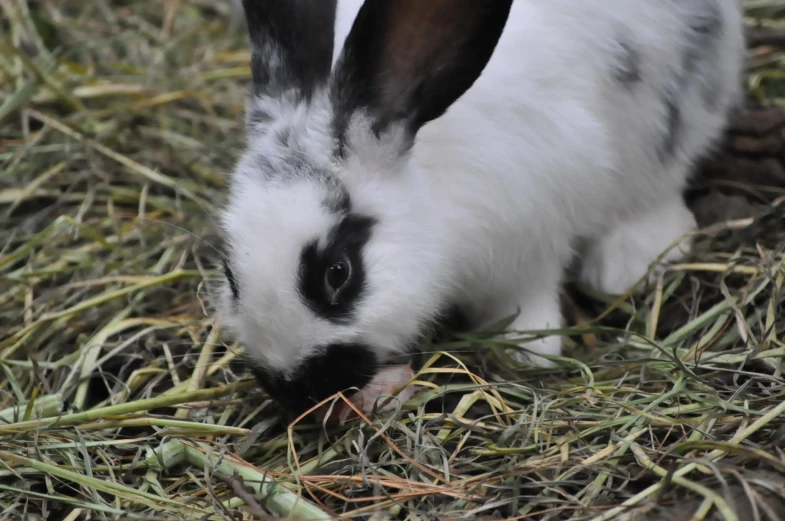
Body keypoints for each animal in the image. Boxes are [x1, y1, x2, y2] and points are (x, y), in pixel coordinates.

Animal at [216, 0, 748, 414]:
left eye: (337, 273)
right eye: (230, 273)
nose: (290, 389)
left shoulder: (529, 243)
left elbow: (527, 303)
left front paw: (528, 351)